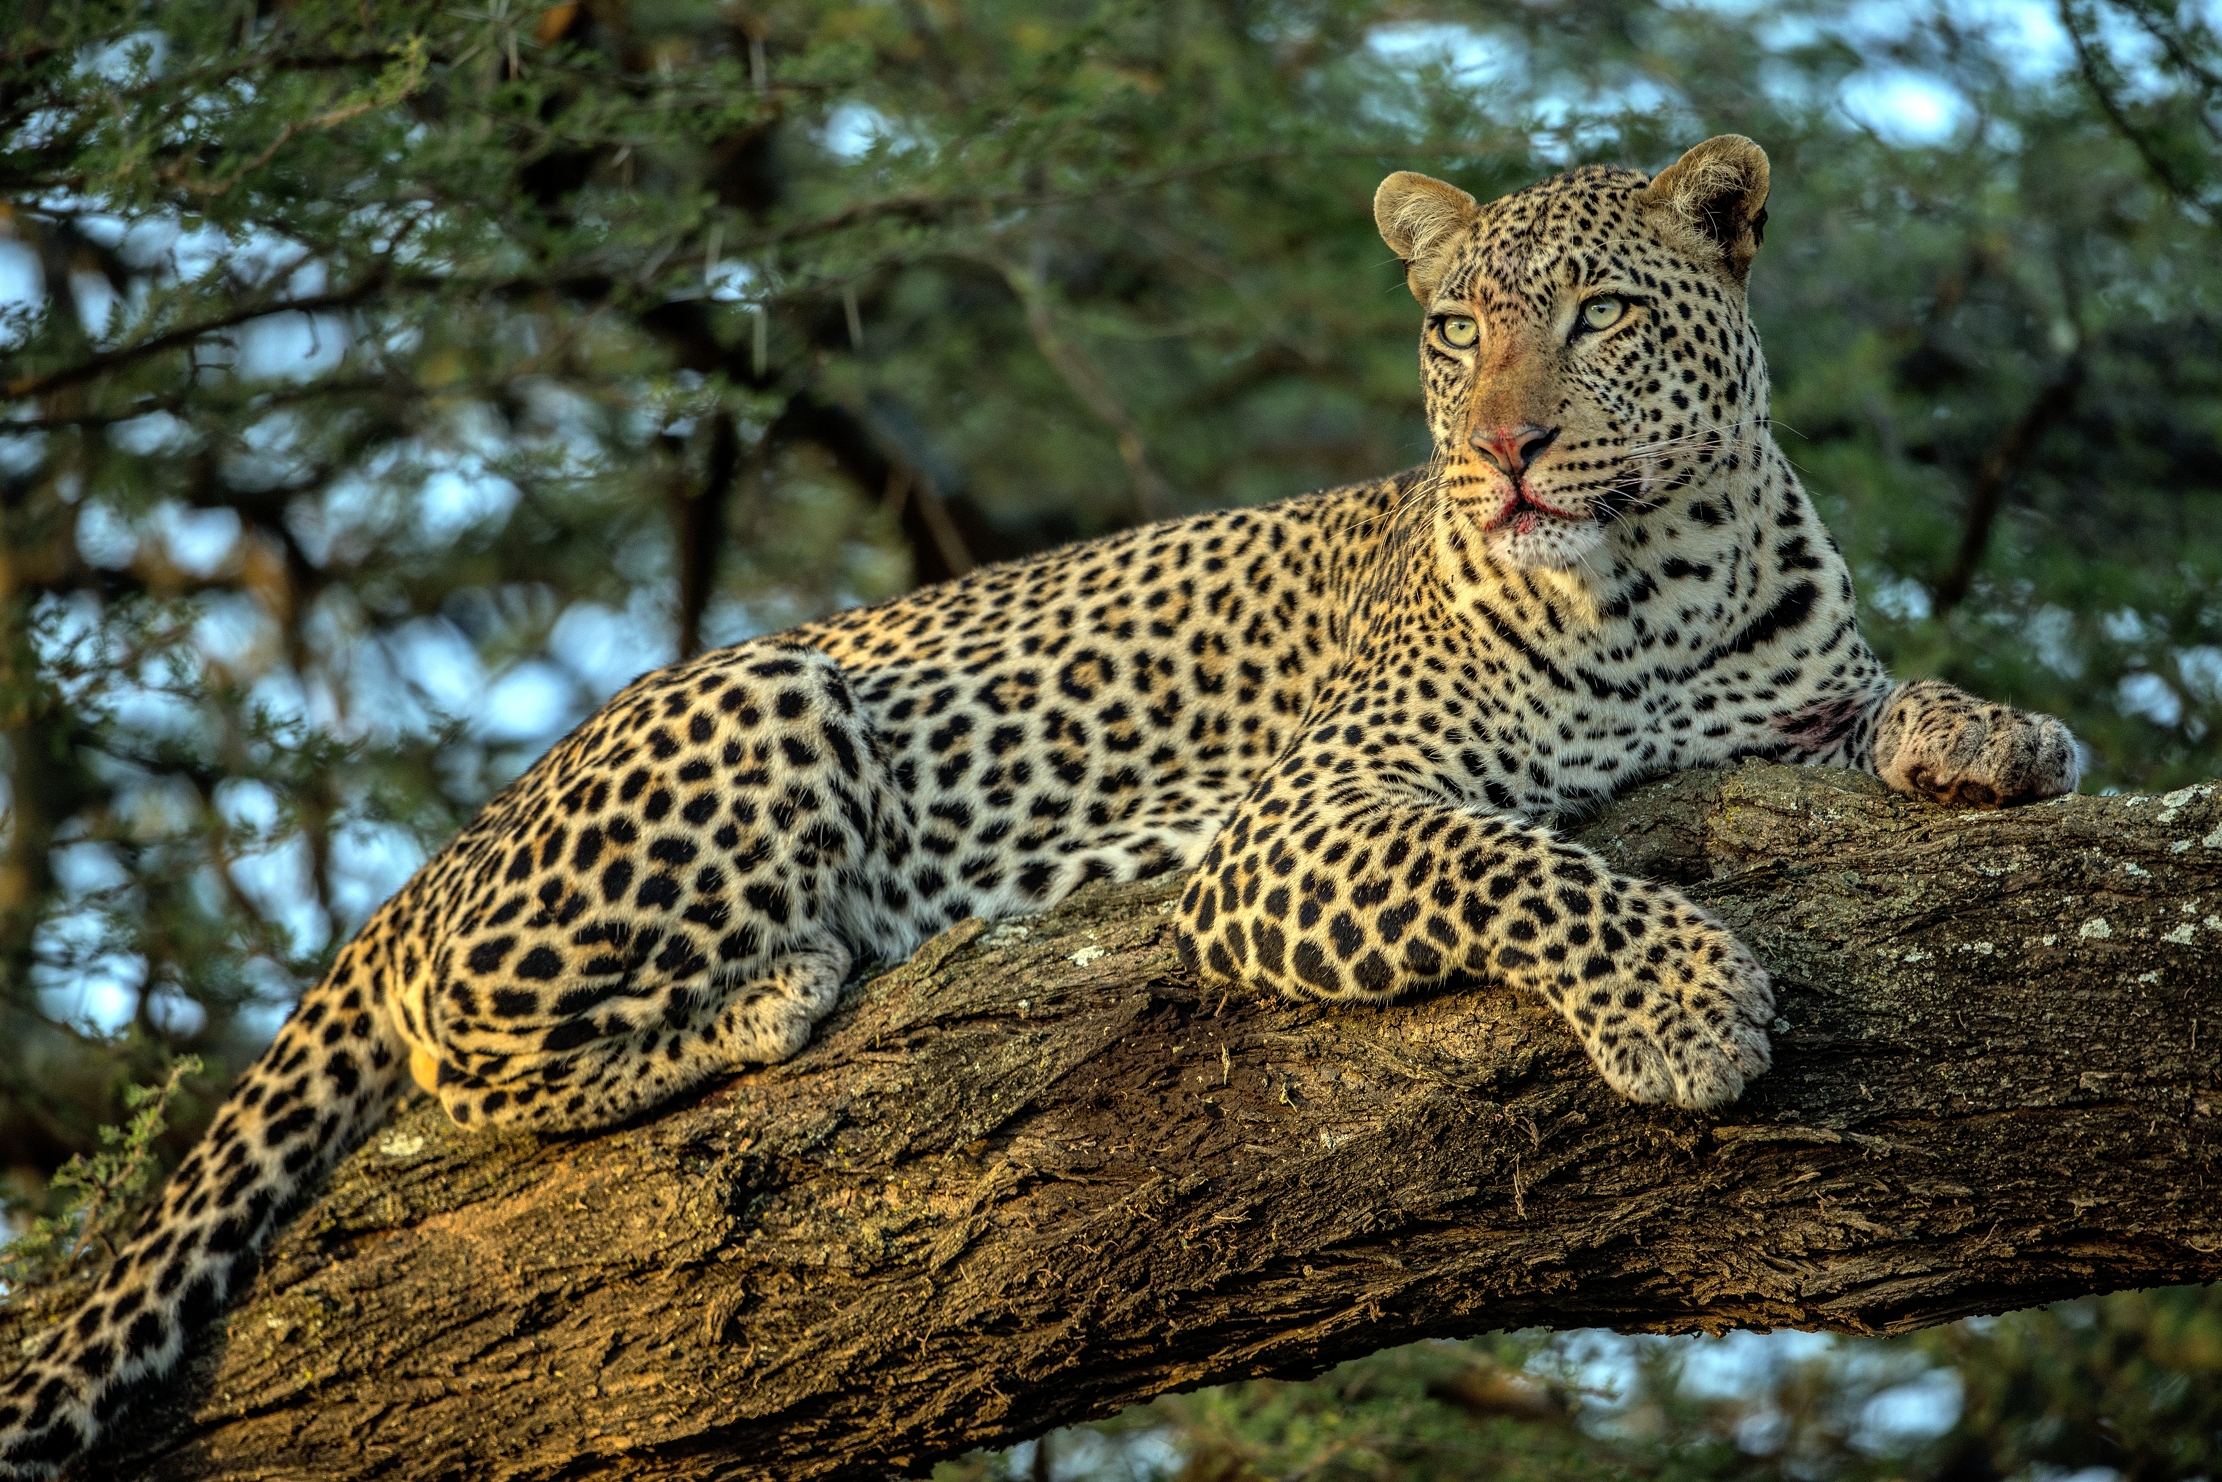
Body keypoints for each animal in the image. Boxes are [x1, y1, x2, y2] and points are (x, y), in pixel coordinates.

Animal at [0, 135, 2079, 1475]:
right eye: (1451, 330)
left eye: (1597, 317)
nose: (1503, 450)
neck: (1658, 582)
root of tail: (442, 848)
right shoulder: (1306, 823)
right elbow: (1519, 859)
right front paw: (1681, 1000)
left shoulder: (1776, 690)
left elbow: (1871, 699)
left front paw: (1996, 734)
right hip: (758, 711)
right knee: (463, 1047)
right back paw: (773, 989)